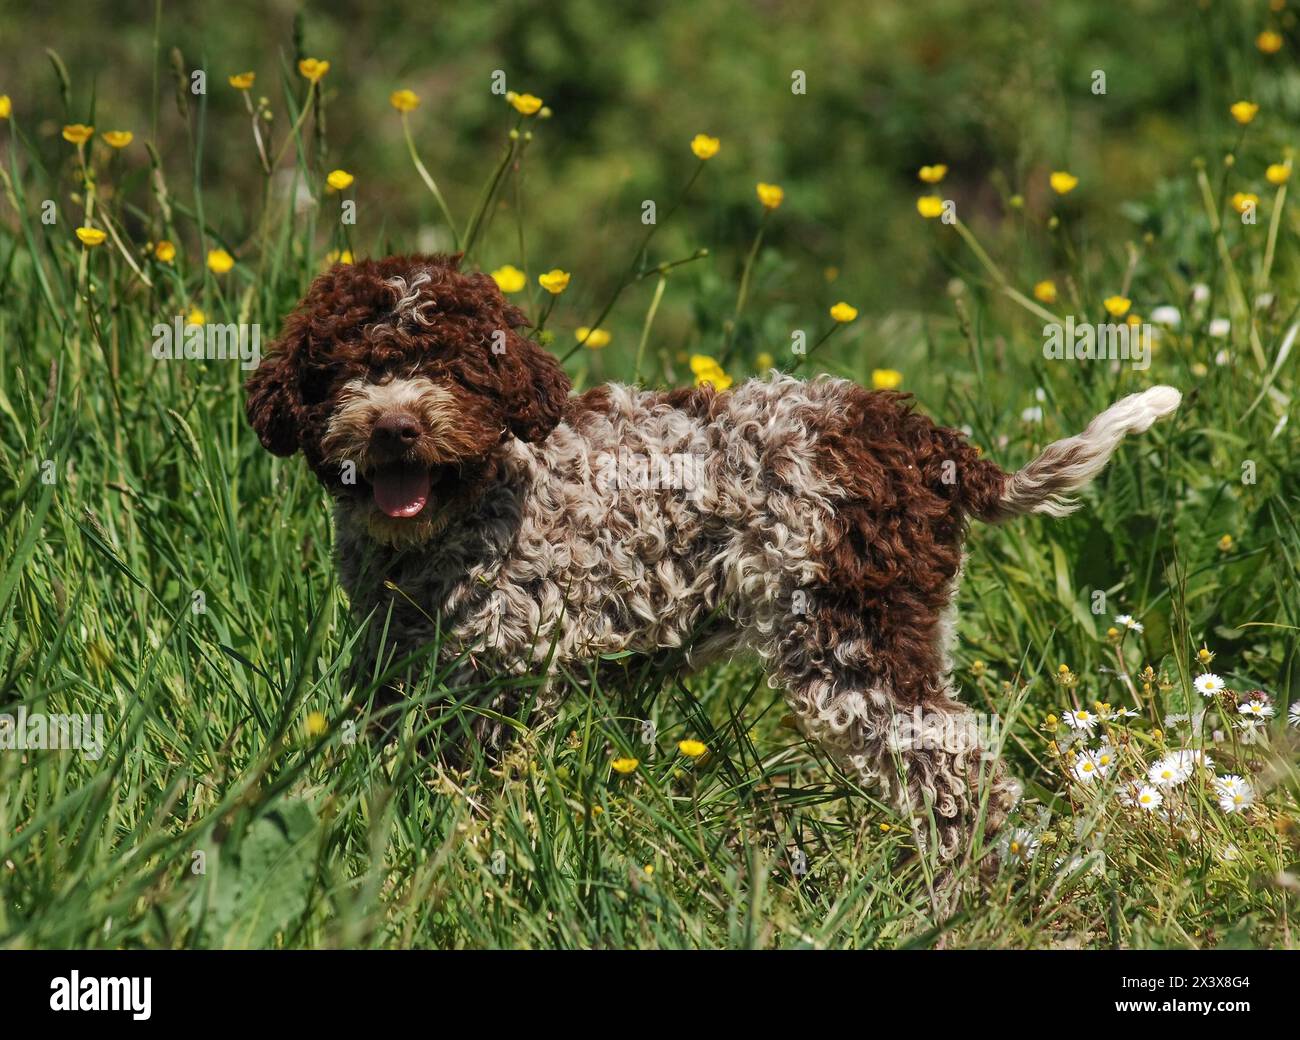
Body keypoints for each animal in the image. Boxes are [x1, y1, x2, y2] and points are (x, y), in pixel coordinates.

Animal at [241, 253, 1180, 868]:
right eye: (345, 371)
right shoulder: (403, 670)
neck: (462, 511)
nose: (395, 426)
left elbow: (479, 786)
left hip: (850, 637)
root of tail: (915, 437)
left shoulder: (504, 678)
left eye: (452, 367)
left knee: (954, 766)